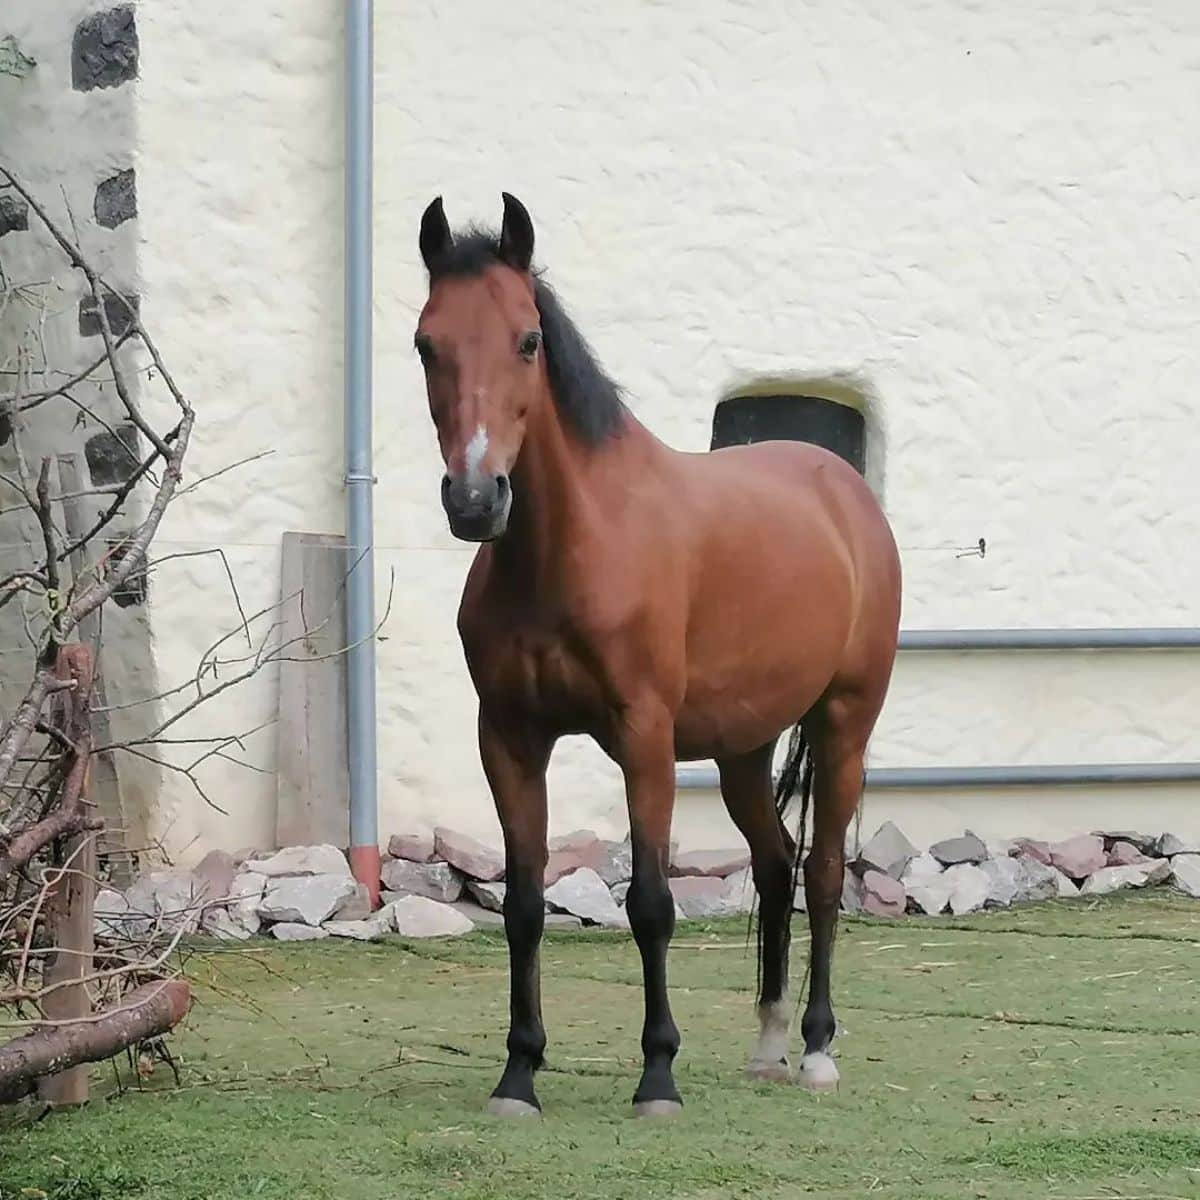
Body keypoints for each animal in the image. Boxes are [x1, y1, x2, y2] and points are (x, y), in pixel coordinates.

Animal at [417, 189, 897, 1113]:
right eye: (427, 343)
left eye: (527, 340)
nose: (475, 498)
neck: (572, 548)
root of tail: (846, 493)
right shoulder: (509, 739)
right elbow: (523, 904)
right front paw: (519, 1073)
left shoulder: (643, 738)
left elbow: (649, 902)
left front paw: (658, 1074)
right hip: (744, 748)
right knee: (775, 867)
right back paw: (768, 1045)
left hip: (843, 725)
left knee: (821, 873)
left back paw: (817, 1050)